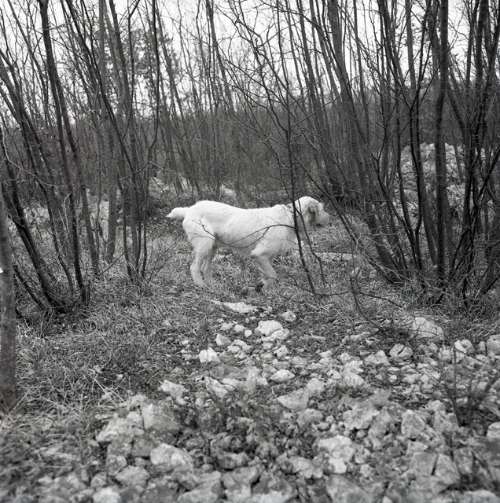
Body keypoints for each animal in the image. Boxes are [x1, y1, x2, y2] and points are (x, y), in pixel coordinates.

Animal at [167, 196, 329, 289]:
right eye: (322, 209)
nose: (330, 217)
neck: (290, 217)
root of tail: (189, 210)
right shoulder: (259, 254)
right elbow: (273, 274)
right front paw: (266, 289)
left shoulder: (266, 257)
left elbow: (267, 274)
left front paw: (262, 285)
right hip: (204, 245)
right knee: (194, 267)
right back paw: (201, 286)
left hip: (212, 247)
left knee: (206, 268)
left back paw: (212, 285)